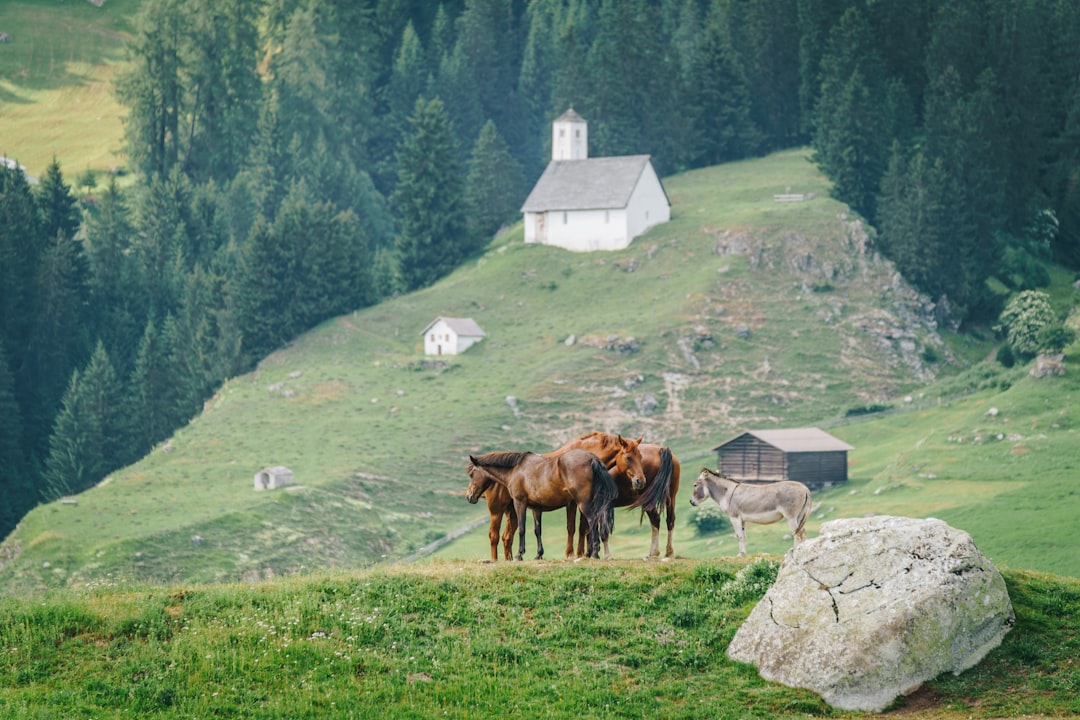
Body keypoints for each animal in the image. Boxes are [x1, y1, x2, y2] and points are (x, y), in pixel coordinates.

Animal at [464, 451, 617, 561]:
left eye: (471, 474)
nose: (469, 496)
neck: (515, 470)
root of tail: (593, 459)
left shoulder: (520, 503)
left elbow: (522, 529)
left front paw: (519, 554)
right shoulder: (536, 508)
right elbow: (537, 530)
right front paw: (539, 554)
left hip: (583, 503)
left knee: (593, 521)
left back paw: (595, 552)